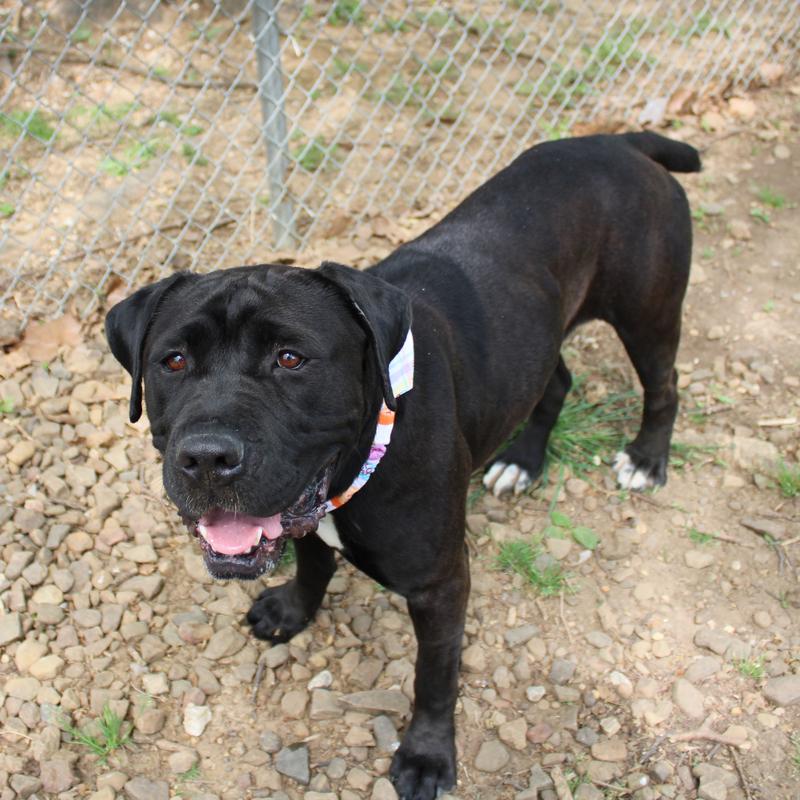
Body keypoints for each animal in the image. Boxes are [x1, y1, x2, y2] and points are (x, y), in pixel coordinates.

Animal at [105, 131, 700, 800]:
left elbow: (434, 676)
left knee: (665, 386)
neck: (362, 461)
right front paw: (292, 610)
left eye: (291, 358)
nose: (207, 455)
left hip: (648, 316)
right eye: (173, 361)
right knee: (557, 380)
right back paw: (522, 461)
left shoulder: (440, 586)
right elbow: (313, 563)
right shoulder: (305, 514)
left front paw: (426, 756)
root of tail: (617, 139)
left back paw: (646, 459)